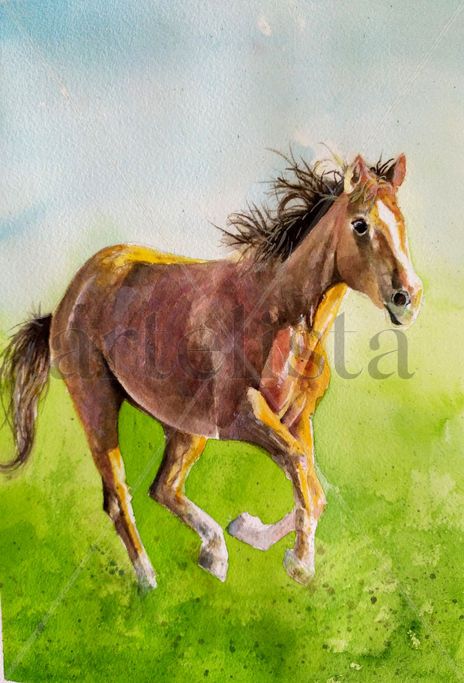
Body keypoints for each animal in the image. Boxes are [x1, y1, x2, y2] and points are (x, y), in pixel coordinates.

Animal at [0, 152, 422, 589]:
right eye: (360, 224)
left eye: (402, 222)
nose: (407, 297)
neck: (280, 317)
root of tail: (67, 299)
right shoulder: (244, 417)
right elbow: (300, 467)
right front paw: (300, 564)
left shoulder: (297, 418)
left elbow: (315, 491)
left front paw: (248, 529)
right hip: (96, 404)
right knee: (118, 496)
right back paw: (148, 579)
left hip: (184, 427)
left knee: (163, 488)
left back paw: (214, 553)